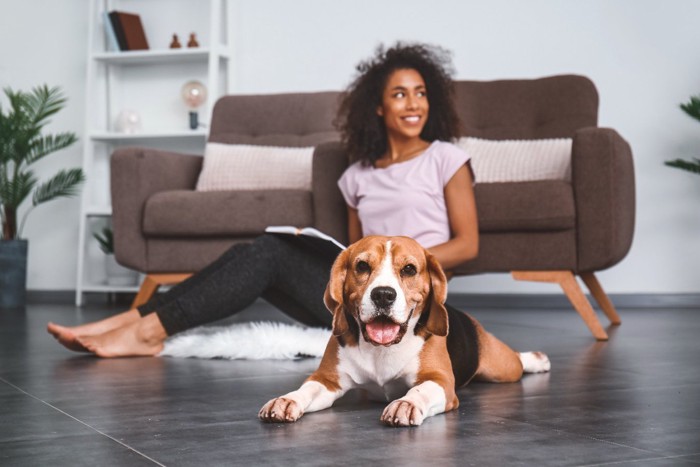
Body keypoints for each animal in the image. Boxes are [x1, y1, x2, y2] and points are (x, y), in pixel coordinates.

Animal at [260, 238, 548, 428]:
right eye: (362, 266)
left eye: (409, 269)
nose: (383, 295)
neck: (382, 349)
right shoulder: (327, 380)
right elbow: (306, 389)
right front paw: (287, 399)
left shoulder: (440, 381)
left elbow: (420, 390)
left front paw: (406, 403)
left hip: (502, 368)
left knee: (516, 361)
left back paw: (537, 359)